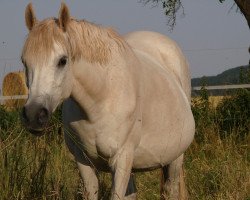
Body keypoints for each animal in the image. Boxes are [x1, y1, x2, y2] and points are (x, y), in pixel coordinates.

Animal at [21, 3, 194, 200]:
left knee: (170, 189)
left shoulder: (121, 161)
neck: (101, 101)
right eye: (25, 62)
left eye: (62, 60)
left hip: (175, 159)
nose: (33, 115)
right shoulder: (84, 162)